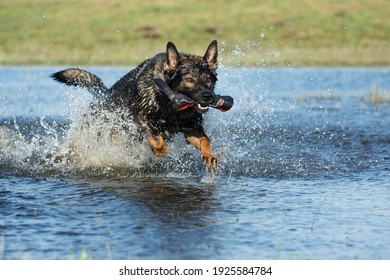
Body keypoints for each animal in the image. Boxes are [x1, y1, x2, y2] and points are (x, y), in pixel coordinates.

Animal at [51, 40, 221, 168]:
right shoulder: (139, 116)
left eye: (208, 79)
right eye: (189, 80)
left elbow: (206, 140)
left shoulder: (191, 129)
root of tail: (104, 95)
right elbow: (156, 137)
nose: (208, 96)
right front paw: (159, 150)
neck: (169, 103)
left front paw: (209, 155)